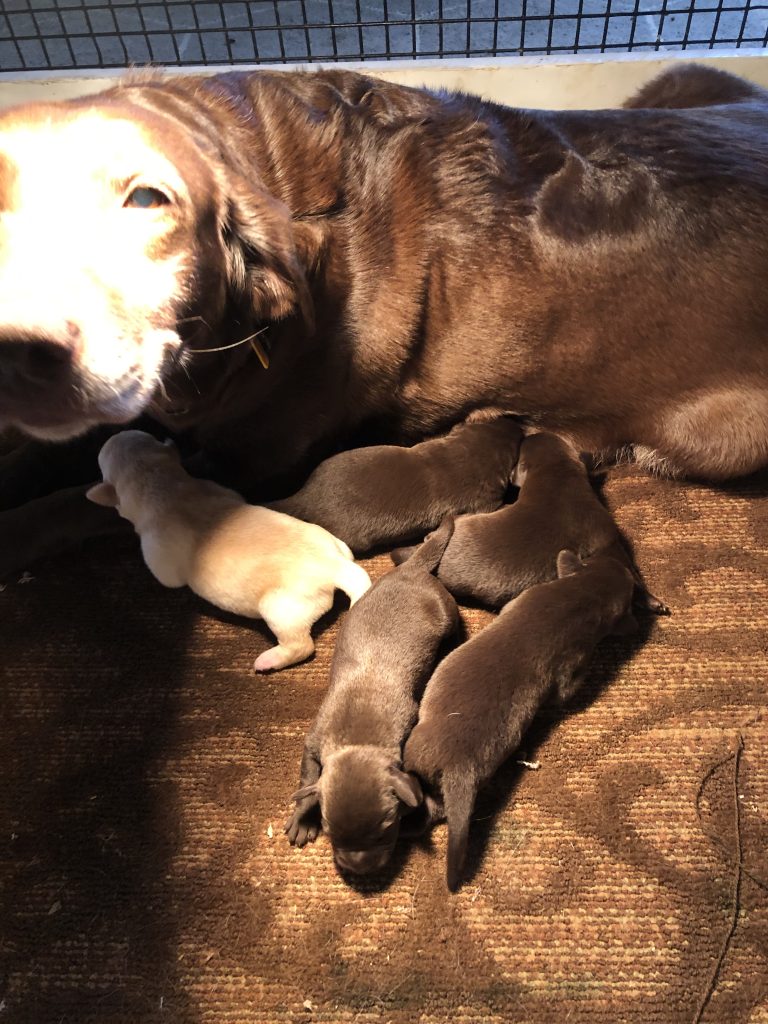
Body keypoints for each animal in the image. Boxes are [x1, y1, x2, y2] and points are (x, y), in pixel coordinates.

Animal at [85, 430, 370, 671]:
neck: (160, 481)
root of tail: (334, 565)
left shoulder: (160, 559)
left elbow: (166, 579)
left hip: (282, 610)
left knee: (301, 645)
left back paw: (270, 659)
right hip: (335, 544)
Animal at [286, 516, 460, 876]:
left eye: (385, 830)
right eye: (330, 831)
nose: (360, 870)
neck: (357, 740)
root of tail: (411, 568)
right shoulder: (314, 740)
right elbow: (307, 778)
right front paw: (303, 816)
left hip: (447, 612)